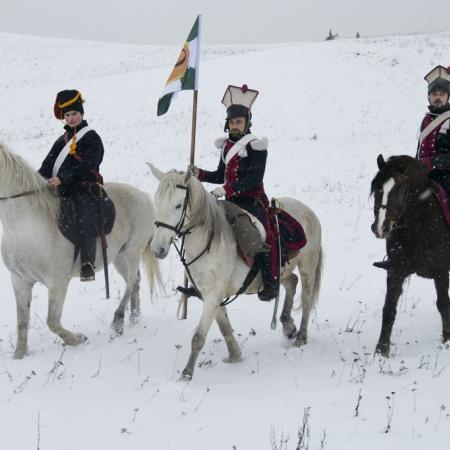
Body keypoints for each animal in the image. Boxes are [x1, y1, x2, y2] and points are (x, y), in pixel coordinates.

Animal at [0, 144, 162, 358]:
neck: (24, 228)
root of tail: (143, 196)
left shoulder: (58, 283)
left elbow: (52, 322)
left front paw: (77, 339)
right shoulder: (20, 281)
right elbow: (22, 322)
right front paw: (19, 356)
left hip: (132, 252)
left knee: (131, 282)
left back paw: (118, 320)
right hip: (119, 257)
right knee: (134, 282)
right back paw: (134, 319)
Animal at [150, 165, 324, 380]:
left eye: (178, 205)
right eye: (157, 202)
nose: (158, 249)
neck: (208, 241)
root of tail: (308, 211)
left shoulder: (212, 296)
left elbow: (198, 337)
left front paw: (186, 375)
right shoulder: (211, 296)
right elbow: (224, 327)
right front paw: (235, 356)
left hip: (308, 265)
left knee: (307, 299)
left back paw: (300, 336)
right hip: (282, 271)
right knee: (292, 282)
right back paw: (287, 325)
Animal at [370, 154, 450, 356]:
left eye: (402, 189)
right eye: (376, 189)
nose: (381, 228)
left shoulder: (441, 271)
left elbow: (443, 303)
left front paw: (447, 339)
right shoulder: (396, 271)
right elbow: (389, 309)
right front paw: (381, 350)